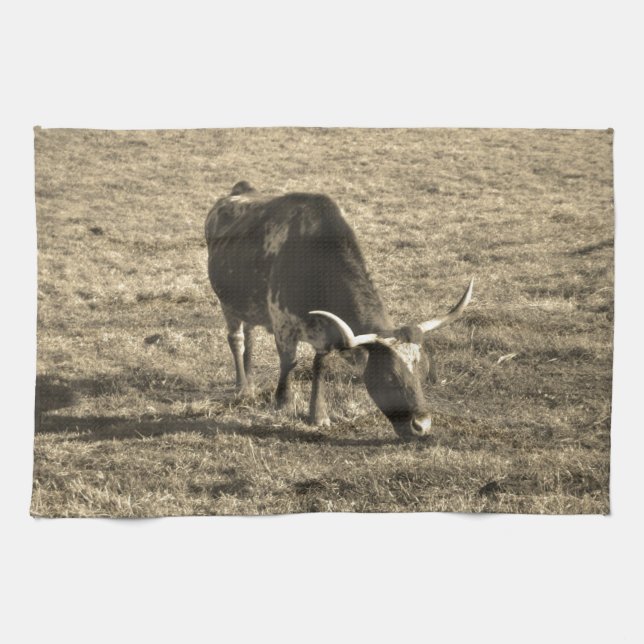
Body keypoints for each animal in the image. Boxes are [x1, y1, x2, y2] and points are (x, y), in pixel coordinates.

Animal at [205, 181, 473, 439]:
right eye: (389, 377)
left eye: (423, 372)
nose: (422, 425)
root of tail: (239, 191)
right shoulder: (283, 325)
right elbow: (288, 362)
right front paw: (283, 403)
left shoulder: (326, 333)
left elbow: (319, 366)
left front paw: (318, 415)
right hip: (227, 303)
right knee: (237, 339)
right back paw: (242, 385)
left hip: (247, 306)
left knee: (249, 333)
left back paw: (250, 378)